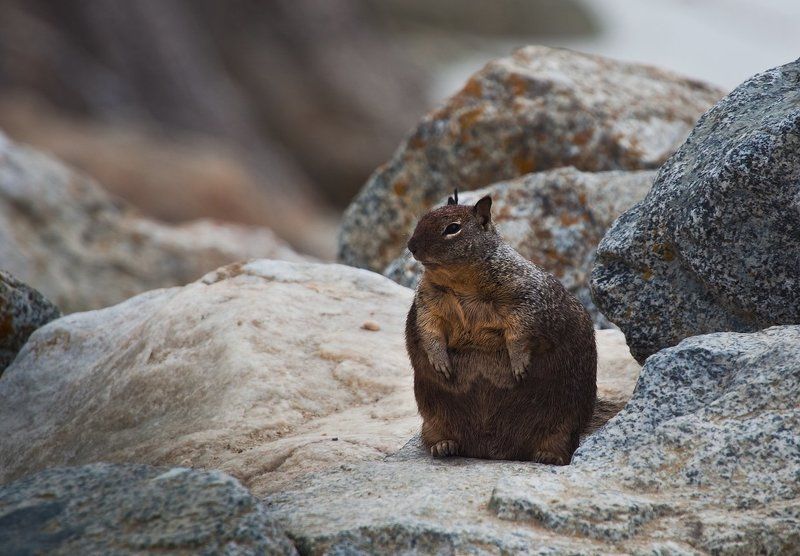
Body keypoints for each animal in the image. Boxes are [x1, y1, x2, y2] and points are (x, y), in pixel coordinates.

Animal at [405, 191, 621, 464]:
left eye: (452, 228)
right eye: (423, 217)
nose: (411, 246)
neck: (460, 282)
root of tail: (494, 452)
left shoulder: (524, 299)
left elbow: (521, 333)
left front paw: (519, 364)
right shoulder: (427, 304)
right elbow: (428, 331)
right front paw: (440, 362)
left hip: (564, 424)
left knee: (561, 444)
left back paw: (548, 456)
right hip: (432, 420)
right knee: (435, 436)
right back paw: (444, 446)